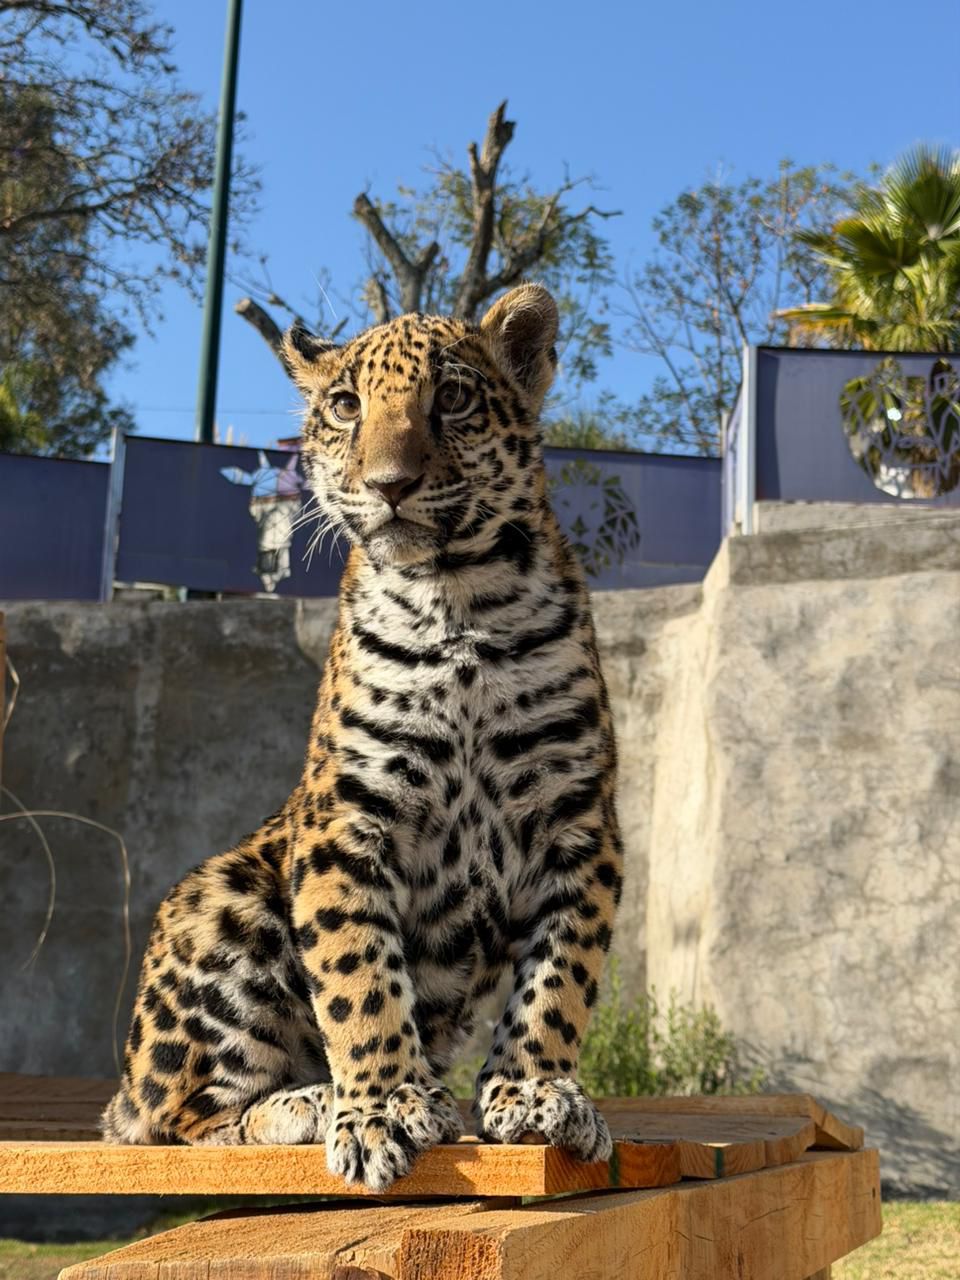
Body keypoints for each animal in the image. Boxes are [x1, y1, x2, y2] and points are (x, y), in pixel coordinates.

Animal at [102, 283, 624, 1191]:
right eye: (347, 406)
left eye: (450, 399)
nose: (390, 484)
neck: (459, 602)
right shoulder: (345, 819)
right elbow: (358, 975)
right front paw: (382, 1108)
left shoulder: (581, 823)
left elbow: (559, 978)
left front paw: (536, 1092)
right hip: (220, 898)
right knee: (180, 1121)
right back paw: (308, 1103)